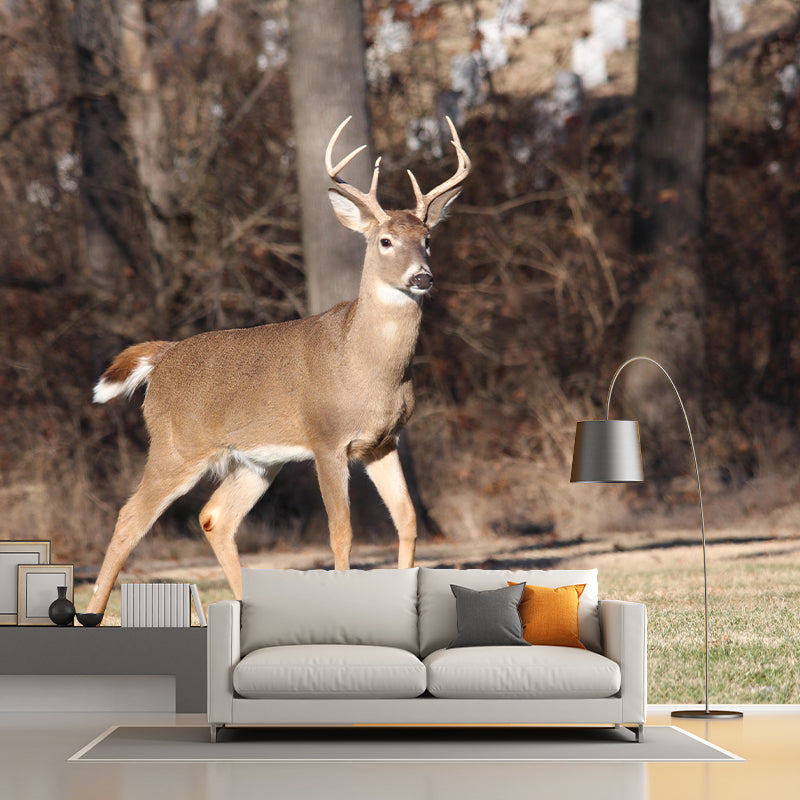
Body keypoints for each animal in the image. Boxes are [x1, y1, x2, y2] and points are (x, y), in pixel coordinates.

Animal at [85, 116, 470, 614]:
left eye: (427, 240)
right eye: (385, 240)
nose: (422, 276)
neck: (368, 369)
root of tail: (162, 357)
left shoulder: (383, 442)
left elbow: (406, 519)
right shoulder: (326, 439)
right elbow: (341, 533)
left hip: (256, 461)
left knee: (214, 516)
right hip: (175, 446)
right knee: (131, 516)